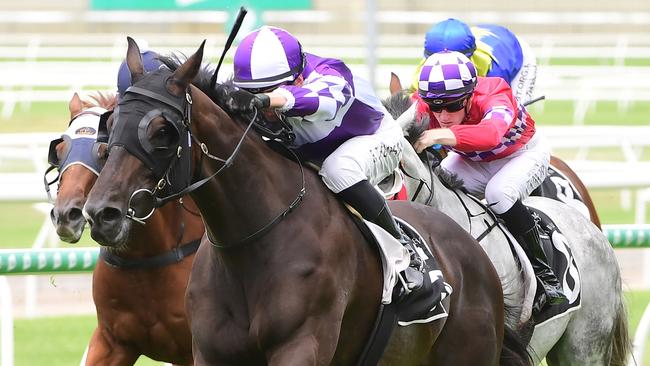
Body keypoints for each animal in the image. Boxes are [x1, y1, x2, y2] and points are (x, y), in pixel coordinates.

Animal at [81, 38, 528, 366]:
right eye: (110, 123)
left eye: (162, 131)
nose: (102, 213)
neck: (252, 243)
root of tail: (475, 251)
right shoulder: (209, 352)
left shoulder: (302, 344)